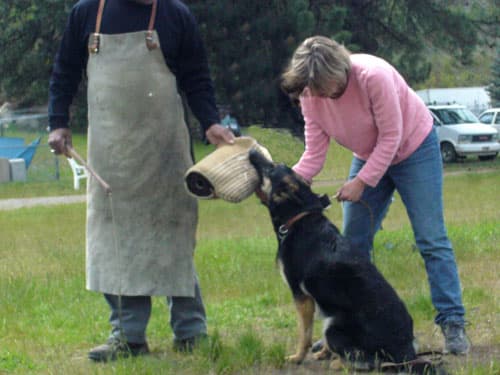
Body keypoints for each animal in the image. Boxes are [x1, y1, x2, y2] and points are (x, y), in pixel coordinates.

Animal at [248, 148, 444, 374]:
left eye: (271, 168)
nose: (252, 151)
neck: (299, 216)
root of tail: (405, 353)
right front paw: (323, 353)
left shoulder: (301, 296)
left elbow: (304, 333)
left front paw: (298, 357)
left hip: (334, 326)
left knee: (367, 363)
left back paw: (337, 363)